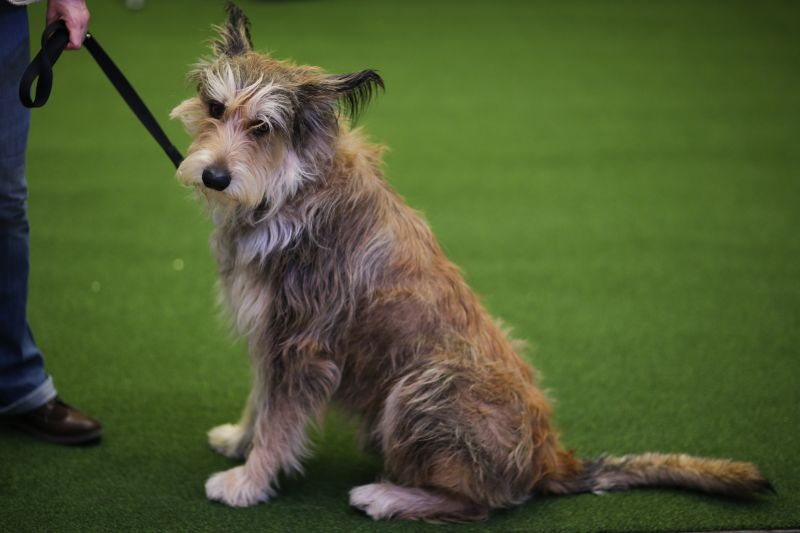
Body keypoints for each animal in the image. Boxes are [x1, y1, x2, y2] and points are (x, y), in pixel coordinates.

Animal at [170, 3, 776, 520]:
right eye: (216, 108)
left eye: (263, 128)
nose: (215, 176)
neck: (288, 191)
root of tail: (552, 460)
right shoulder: (269, 333)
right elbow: (261, 400)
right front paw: (240, 441)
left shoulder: (302, 345)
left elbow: (280, 423)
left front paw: (249, 482)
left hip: (422, 387)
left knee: (481, 504)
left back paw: (387, 496)